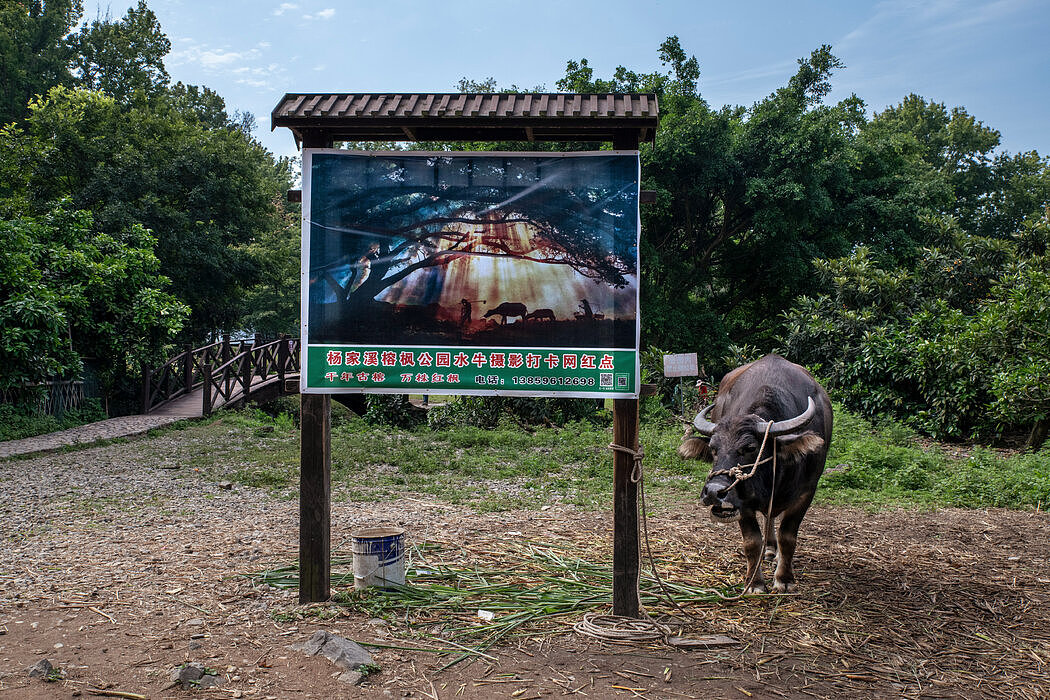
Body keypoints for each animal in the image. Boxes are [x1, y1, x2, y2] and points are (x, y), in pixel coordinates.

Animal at [680, 356, 835, 591]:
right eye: (714, 449)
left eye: (751, 448)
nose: (714, 492)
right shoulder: (742, 502)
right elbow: (752, 542)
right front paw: (755, 582)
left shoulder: (807, 493)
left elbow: (788, 537)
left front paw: (784, 579)